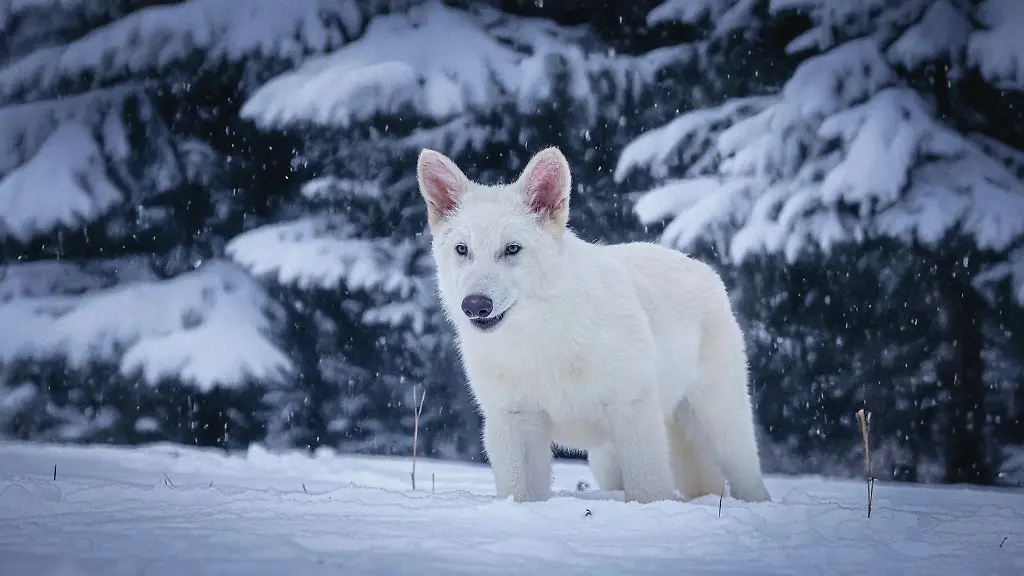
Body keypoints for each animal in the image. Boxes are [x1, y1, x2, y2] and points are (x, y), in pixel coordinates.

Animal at [415, 146, 771, 504]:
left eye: (512, 249)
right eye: (463, 250)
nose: (475, 305)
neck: (540, 340)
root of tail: (703, 268)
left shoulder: (632, 410)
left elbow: (647, 490)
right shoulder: (515, 420)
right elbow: (523, 494)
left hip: (720, 424)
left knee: (749, 479)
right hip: (609, 458)